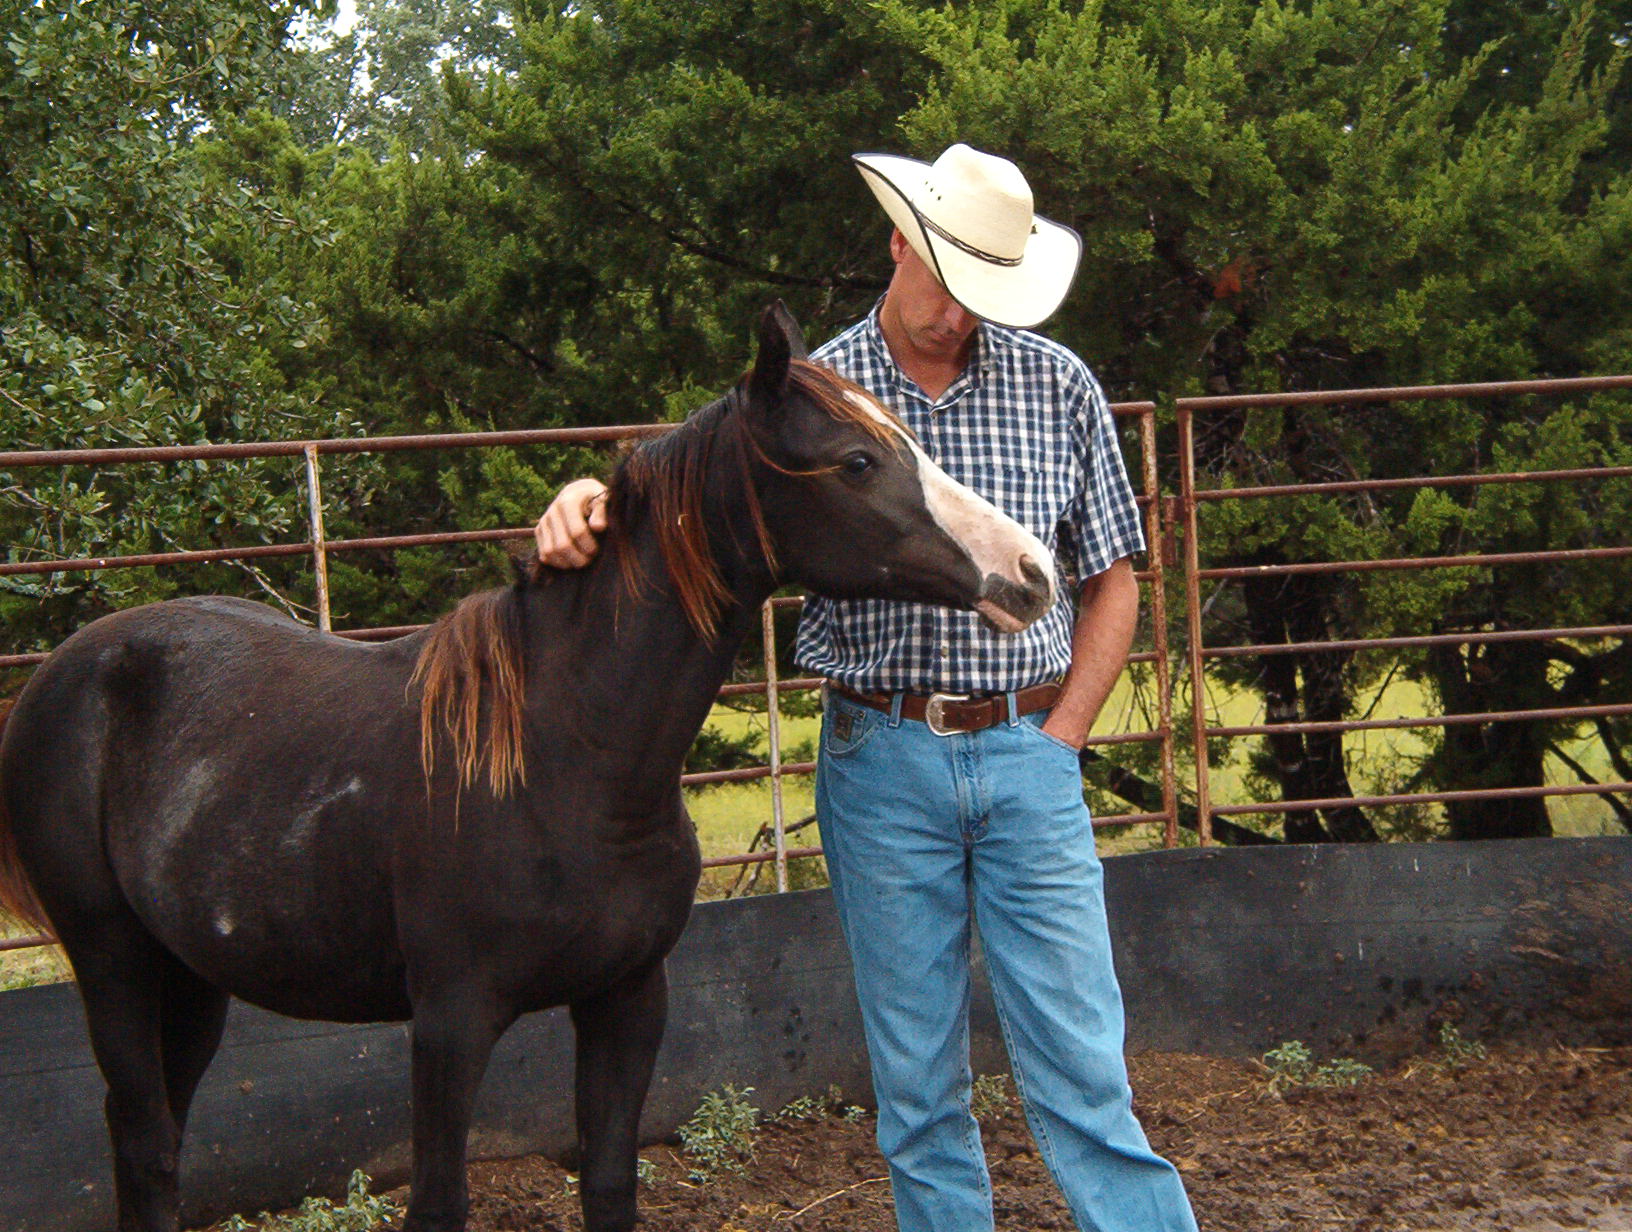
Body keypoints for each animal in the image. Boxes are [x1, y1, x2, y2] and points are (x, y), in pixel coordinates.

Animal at [0, 302, 1056, 1232]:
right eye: (858, 460)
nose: (1032, 571)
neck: (568, 757)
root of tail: (63, 675)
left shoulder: (627, 1003)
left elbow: (610, 1185)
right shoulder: (449, 1025)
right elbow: (439, 1202)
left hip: (192, 980)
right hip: (112, 963)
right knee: (146, 1144)